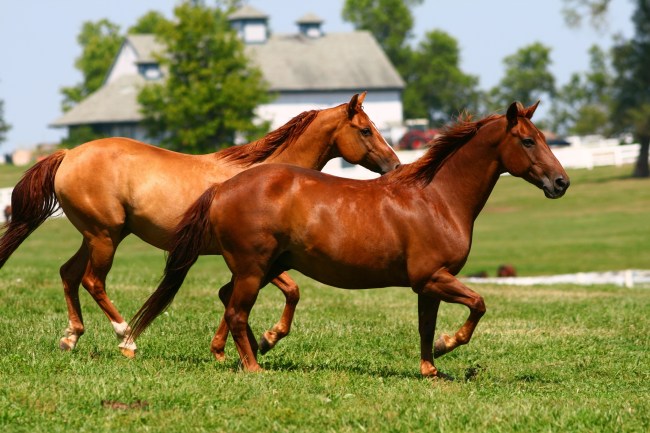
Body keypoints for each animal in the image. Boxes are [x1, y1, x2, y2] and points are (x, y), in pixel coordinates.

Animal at [0, 92, 400, 358]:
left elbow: (267, 294)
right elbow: (281, 292)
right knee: (92, 281)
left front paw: (235, 346)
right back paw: (126, 338)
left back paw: (71, 337)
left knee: (68, 273)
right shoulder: (253, 257)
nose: (395, 166)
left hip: (98, 235)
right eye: (366, 130)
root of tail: (69, 154)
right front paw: (264, 340)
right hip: (104, 237)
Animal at [128, 101, 569, 377]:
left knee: (229, 300)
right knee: (236, 311)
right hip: (254, 268)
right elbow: (477, 304)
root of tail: (222, 188)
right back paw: (254, 365)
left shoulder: (428, 285)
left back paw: (258, 348)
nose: (561, 182)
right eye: (528, 140)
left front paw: (431, 368)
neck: (436, 198)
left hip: (267, 266)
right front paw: (449, 344)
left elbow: (426, 327)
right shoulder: (433, 277)